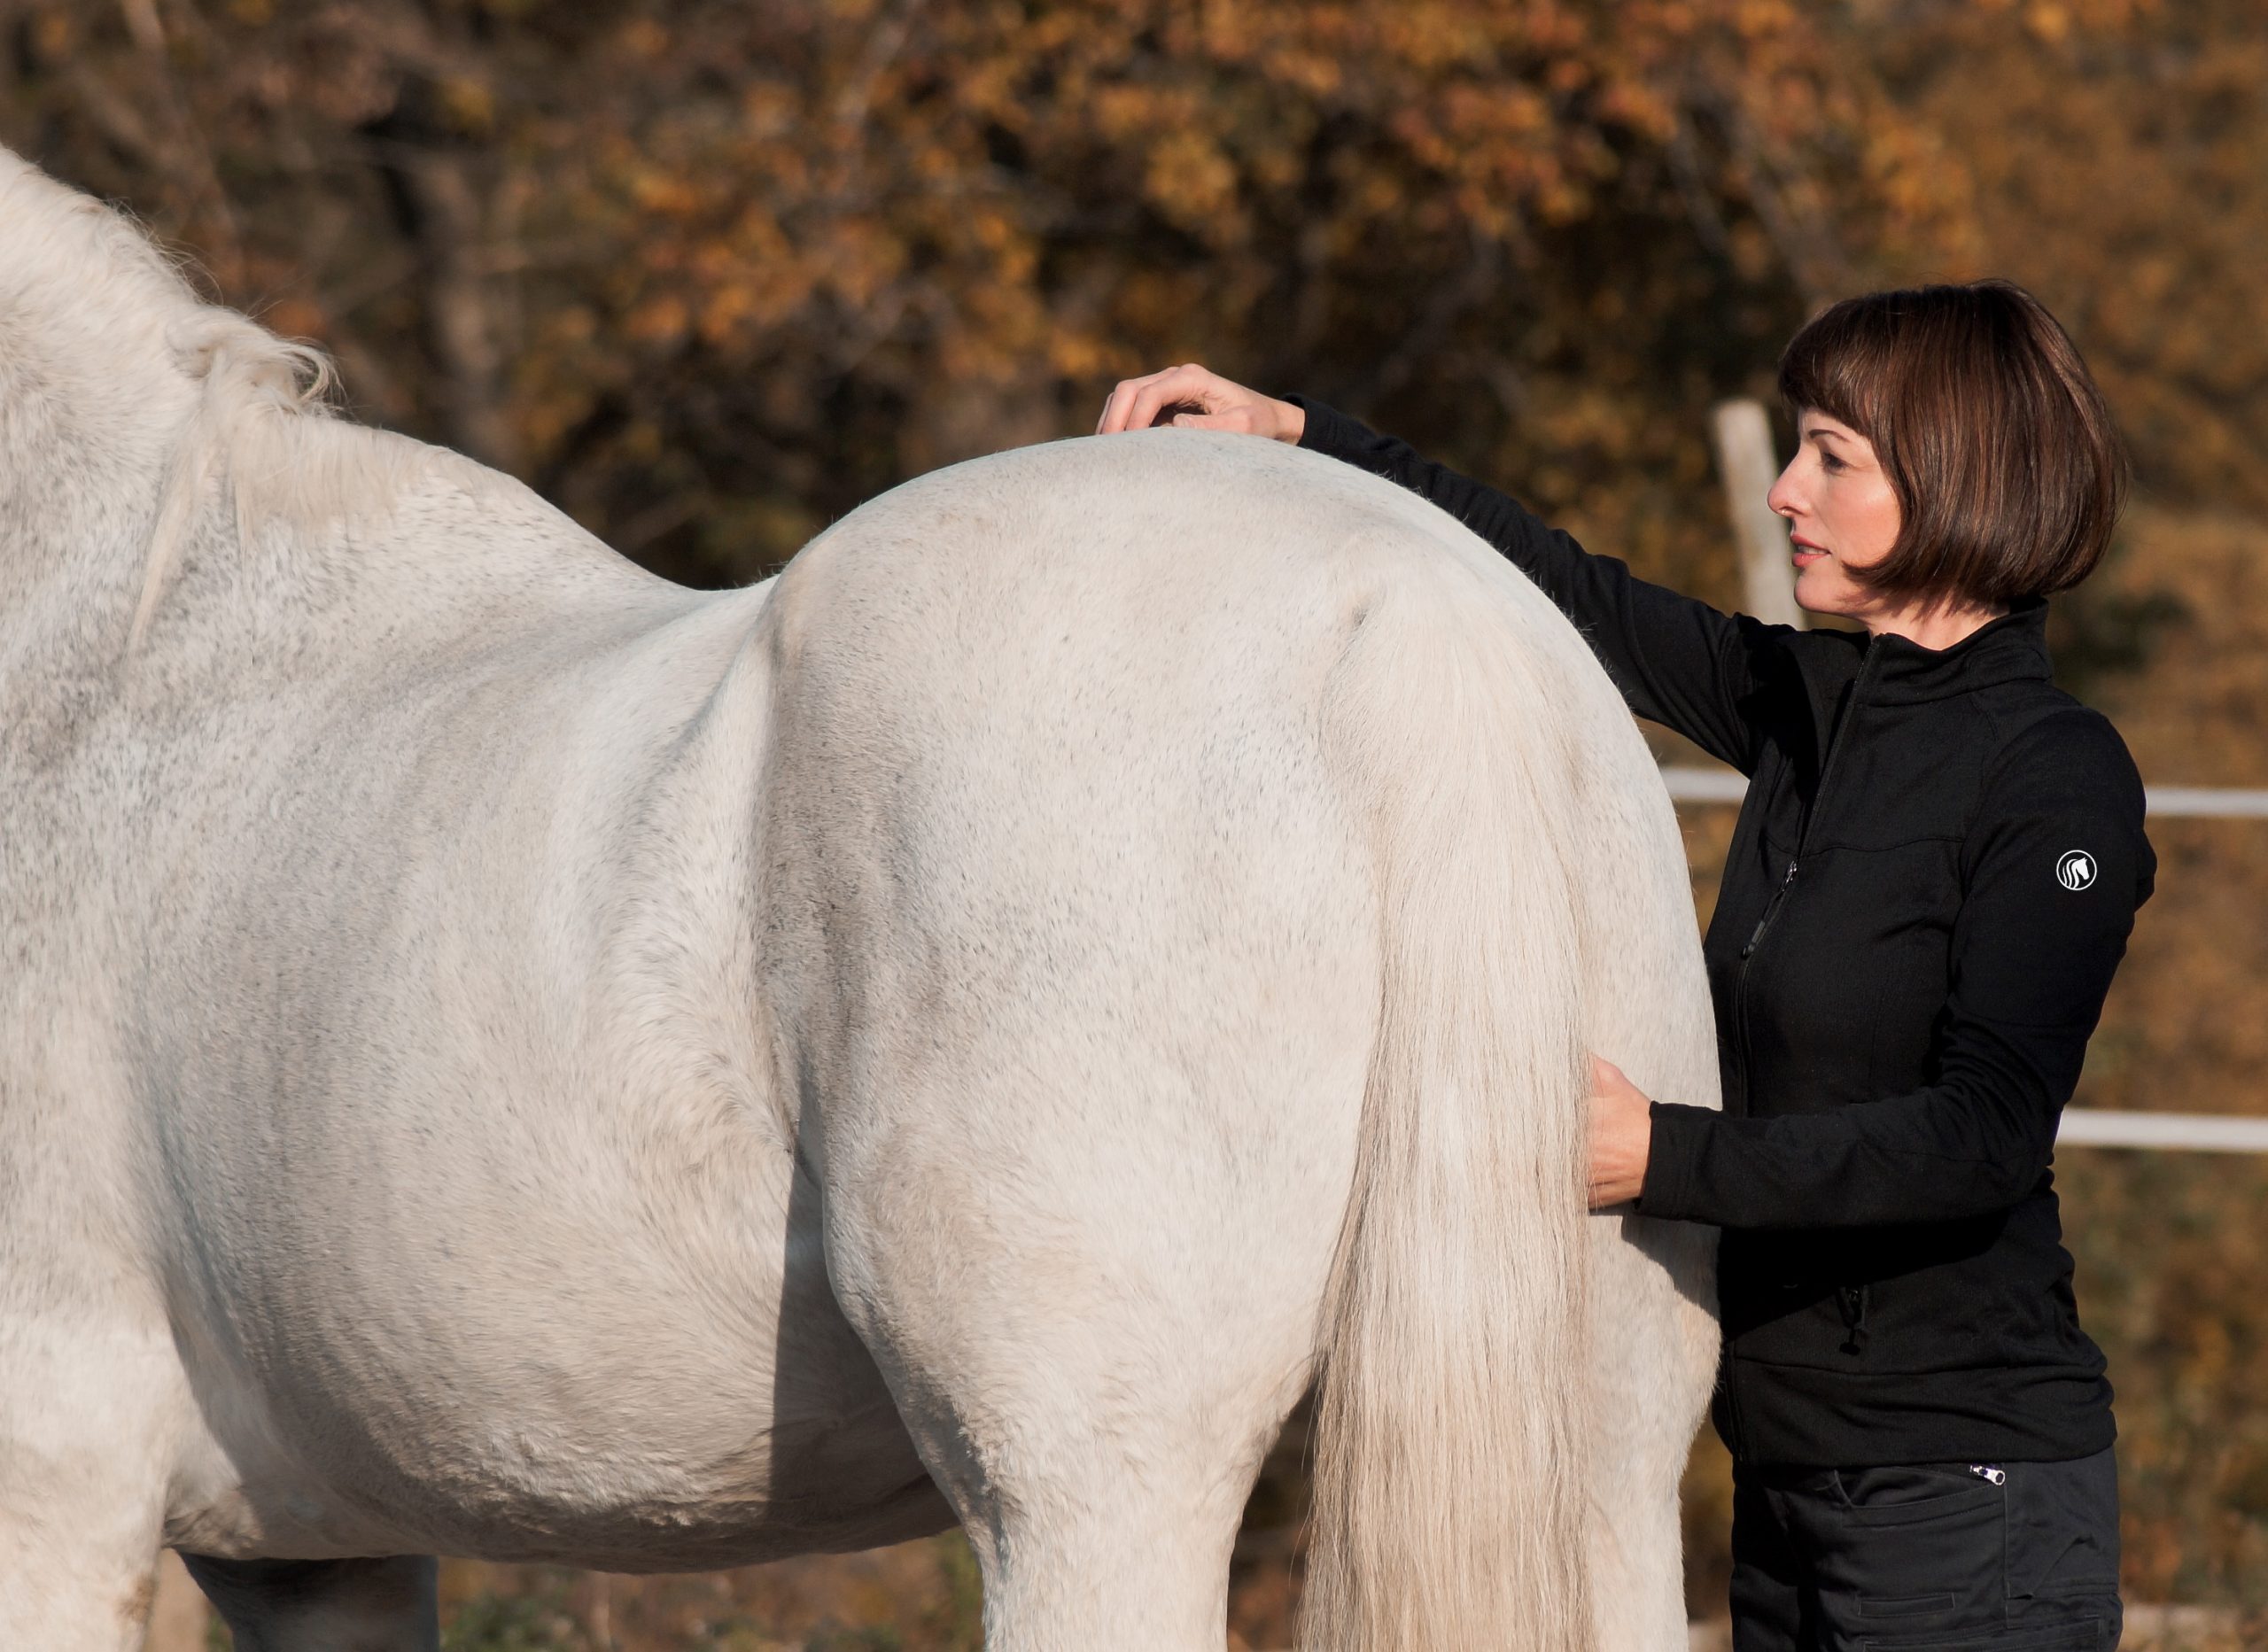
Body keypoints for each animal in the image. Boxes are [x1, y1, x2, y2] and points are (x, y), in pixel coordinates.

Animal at [0, 153, 1705, 1649]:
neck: (108, 649)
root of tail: (1422, 603)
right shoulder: (324, 1561)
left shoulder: (57, 1492)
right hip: (1611, 1471)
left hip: (1089, 1500)